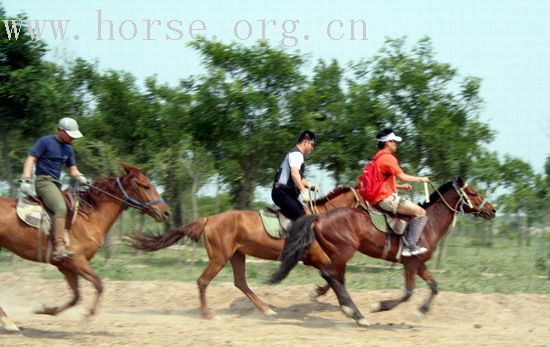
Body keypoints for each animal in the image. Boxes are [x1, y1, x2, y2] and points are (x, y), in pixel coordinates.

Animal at [0, 163, 170, 332]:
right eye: (146, 186)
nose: (166, 213)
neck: (89, 218)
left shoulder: (67, 266)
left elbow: (76, 297)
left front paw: (45, 310)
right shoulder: (77, 261)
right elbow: (99, 285)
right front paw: (87, 316)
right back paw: (8, 322)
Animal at [130, 186, 366, 320]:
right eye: (363, 200)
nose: (368, 218)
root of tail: (208, 219)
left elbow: (336, 275)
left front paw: (337, 302)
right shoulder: (317, 257)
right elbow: (334, 276)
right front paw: (342, 306)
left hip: (237, 255)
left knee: (240, 282)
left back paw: (266, 310)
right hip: (220, 257)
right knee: (203, 281)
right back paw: (207, 314)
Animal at [270, 178, 498, 328]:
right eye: (473, 192)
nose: (493, 210)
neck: (429, 223)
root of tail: (318, 217)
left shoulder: (420, 263)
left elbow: (434, 287)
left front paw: (420, 314)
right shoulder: (411, 264)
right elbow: (408, 293)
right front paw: (379, 306)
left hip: (337, 254)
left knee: (333, 277)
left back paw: (348, 309)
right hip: (343, 251)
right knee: (330, 275)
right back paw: (356, 314)